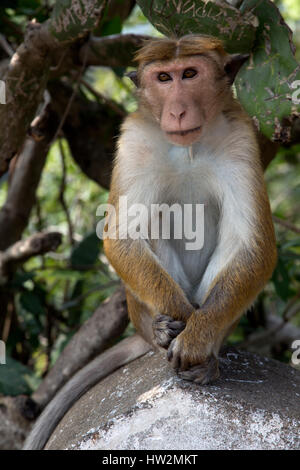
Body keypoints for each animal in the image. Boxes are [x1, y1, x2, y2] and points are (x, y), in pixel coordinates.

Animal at [23, 35, 276, 450]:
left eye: (189, 74)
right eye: (163, 78)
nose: (176, 110)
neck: (189, 146)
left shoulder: (241, 138)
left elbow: (252, 245)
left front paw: (197, 337)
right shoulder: (134, 139)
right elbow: (123, 235)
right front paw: (176, 325)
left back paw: (206, 357)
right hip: (140, 308)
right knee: (152, 218)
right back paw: (161, 332)